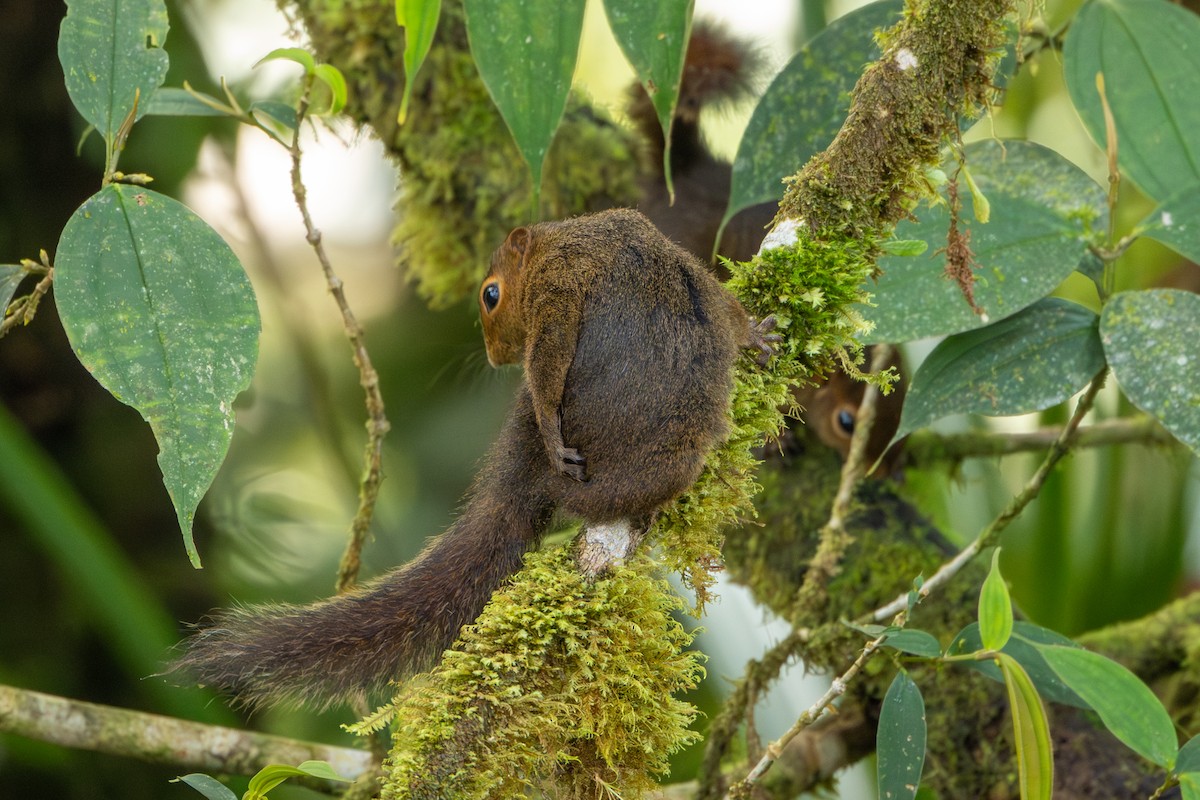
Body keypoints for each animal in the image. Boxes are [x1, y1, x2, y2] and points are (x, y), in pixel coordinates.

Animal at [176, 208, 772, 709]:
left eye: (490, 295)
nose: (493, 355)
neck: (579, 234)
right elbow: (715, 302)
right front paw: (753, 333)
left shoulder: (560, 284)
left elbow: (553, 356)